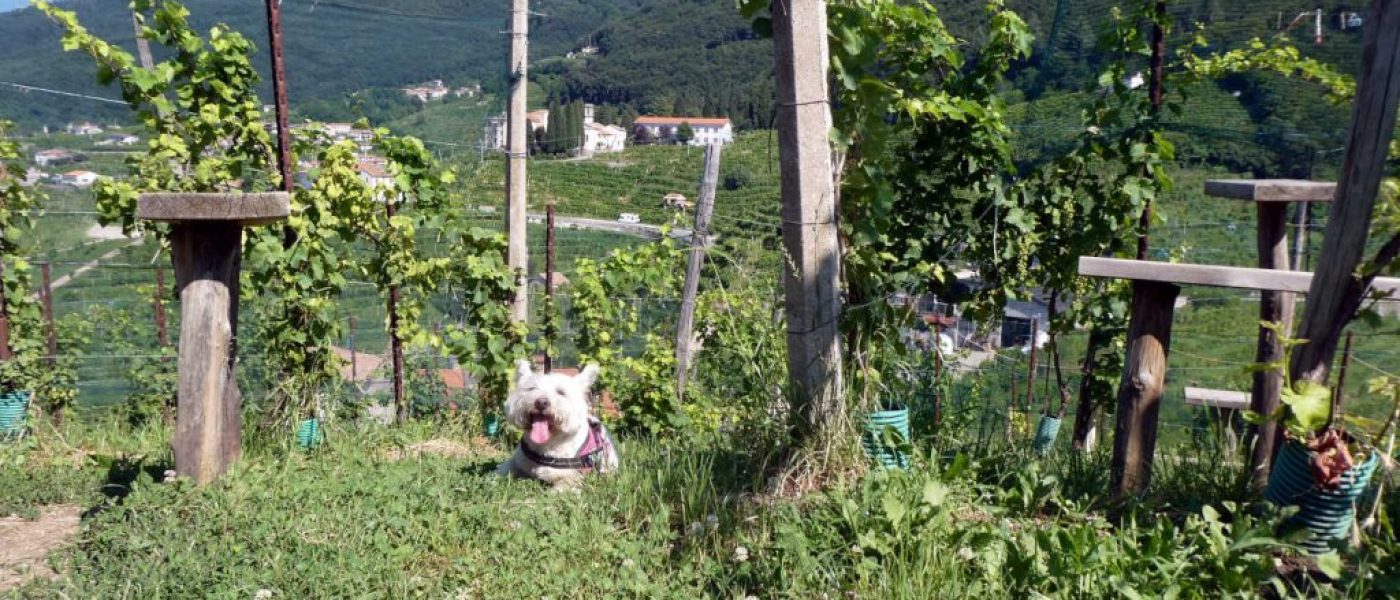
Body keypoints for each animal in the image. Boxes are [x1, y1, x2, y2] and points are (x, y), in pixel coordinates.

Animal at [498, 358, 618, 489]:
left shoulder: (572, 478)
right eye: (531, 388)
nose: (541, 402)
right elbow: (502, 470)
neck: (546, 444)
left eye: (561, 392)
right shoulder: (516, 461)